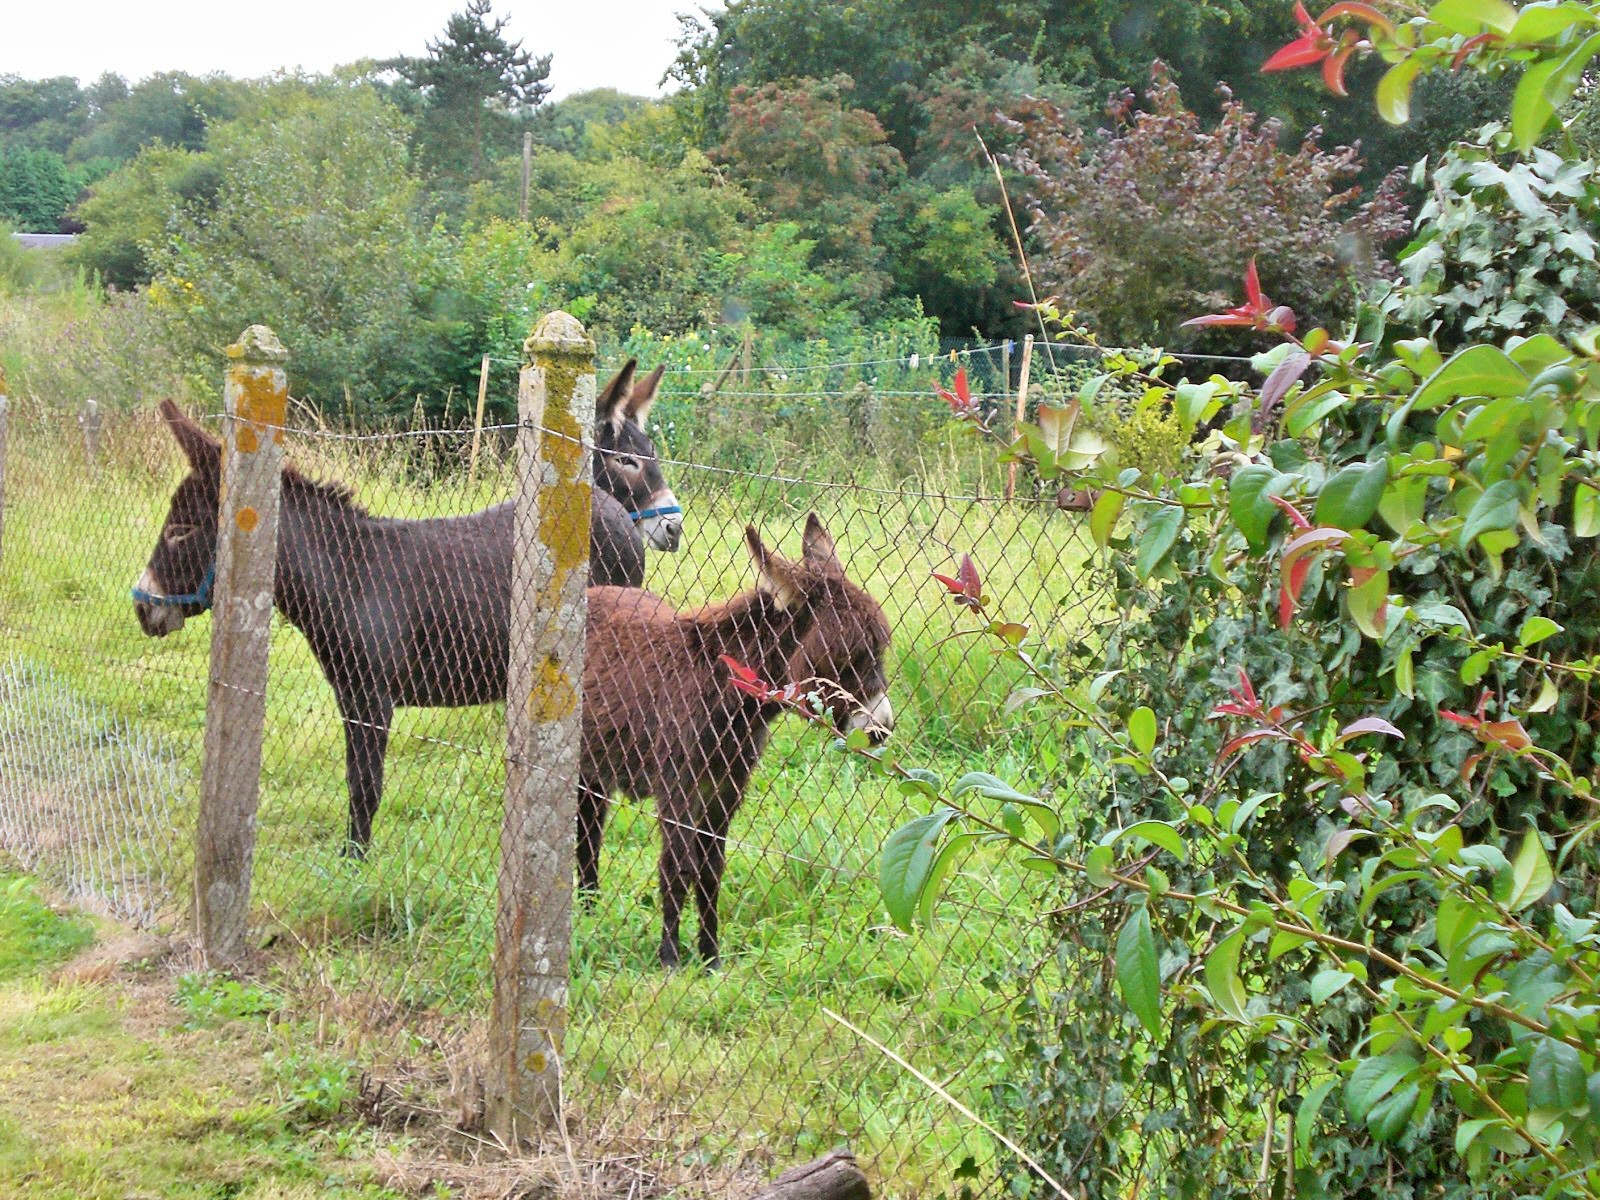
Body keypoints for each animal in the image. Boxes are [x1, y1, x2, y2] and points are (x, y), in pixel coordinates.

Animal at [582, 518, 896, 966]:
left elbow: (711, 870)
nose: (881, 729)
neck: (722, 690)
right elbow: (677, 867)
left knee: (588, 831)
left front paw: (711, 958)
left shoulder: (726, 788)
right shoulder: (677, 786)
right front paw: (670, 958)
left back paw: (589, 909)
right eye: (846, 655)